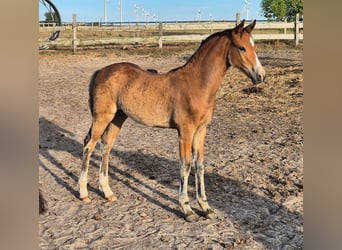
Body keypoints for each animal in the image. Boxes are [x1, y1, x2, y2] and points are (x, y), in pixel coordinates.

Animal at [79, 20, 266, 222]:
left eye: (254, 46)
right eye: (241, 47)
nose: (261, 76)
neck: (197, 84)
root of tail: (100, 71)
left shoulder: (201, 131)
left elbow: (199, 165)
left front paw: (205, 207)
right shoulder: (185, 131)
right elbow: (185, 165)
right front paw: (187, 209)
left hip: (118, 117)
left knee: (106, 145)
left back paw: (107, 192)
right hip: (102, 116)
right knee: (89, 145)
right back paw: (84, 193)